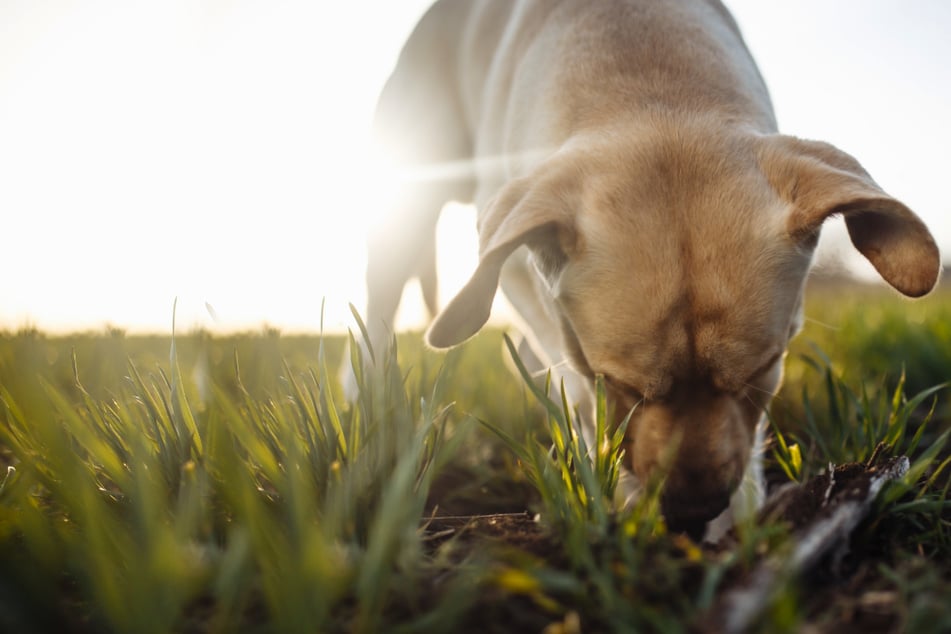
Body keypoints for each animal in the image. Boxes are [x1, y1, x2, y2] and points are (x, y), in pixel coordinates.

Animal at [360, 0, 940, 540]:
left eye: (763, 370)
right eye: (621, 384)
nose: (693, 512)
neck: (652, 83)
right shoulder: (516, 263)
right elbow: (576, 380)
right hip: (408, 196)